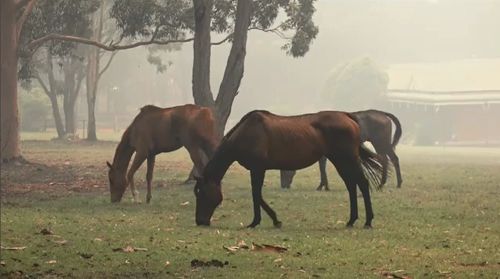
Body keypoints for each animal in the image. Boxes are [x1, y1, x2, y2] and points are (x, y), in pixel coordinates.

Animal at [193, 109, 384, 230]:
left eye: (201, 193)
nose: (200, 221)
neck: (246, 133)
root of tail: (348, 116)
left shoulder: (257, 169)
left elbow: (256, 194)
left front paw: (259, 221)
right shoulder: (257, 170)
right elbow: (257, 195)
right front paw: (271, 220)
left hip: (347, 160)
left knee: (362, 184)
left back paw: (367, 221)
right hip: (339, 161)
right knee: (352, 186)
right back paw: (351, 220)